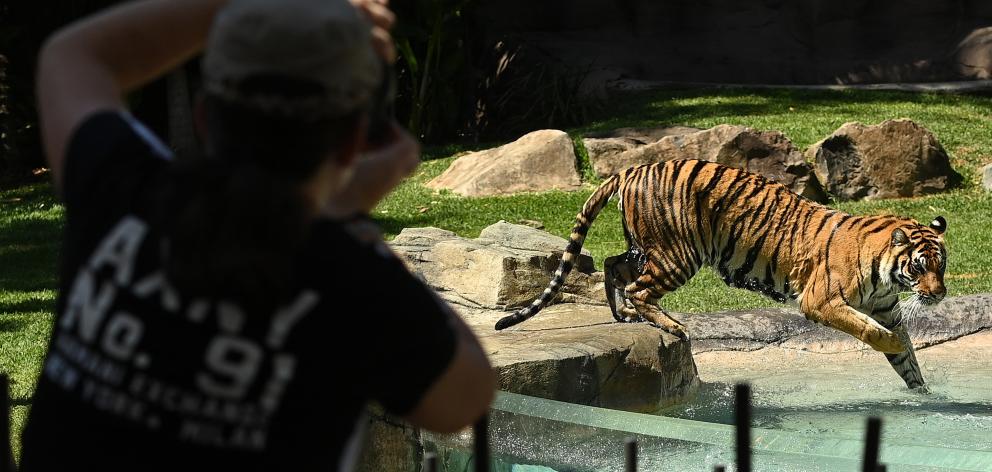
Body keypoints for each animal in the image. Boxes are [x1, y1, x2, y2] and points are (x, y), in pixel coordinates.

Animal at [496, 159, 944, 390]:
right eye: (919, 266)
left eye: (941, 265)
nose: (938, 294)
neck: (887, 273)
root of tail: (633, 169)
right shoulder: (822, 301)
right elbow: (873, 332)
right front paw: (891, 346)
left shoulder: (887, 308)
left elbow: (907, 357)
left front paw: (923, 393)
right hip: (678, 253)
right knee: (640, 288)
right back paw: (670, 325)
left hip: (646, 247)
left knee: (612, 263)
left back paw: (622, 315)